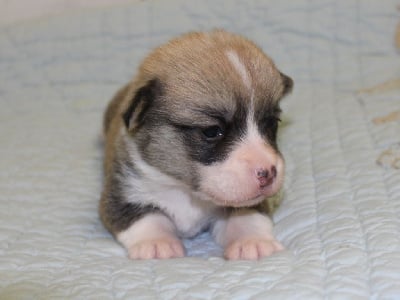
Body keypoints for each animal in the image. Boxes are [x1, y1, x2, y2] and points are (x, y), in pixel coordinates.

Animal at [100, 30, 294, 260]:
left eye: (272, 124)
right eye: (211, 131)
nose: (269, 172)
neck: (187, 191)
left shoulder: (249, 203)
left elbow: (247, 214)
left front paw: (253, 241)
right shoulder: (121, 196)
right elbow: (147, 217)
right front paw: (157, 242)